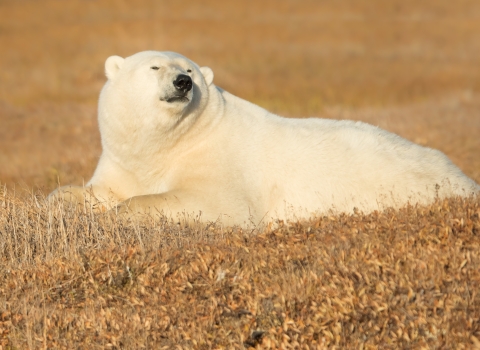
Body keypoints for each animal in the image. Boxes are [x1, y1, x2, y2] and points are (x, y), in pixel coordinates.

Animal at [48, 50, 480, 227]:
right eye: (154, 67)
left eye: (190, 69)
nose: (183, 82)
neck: (171, 143)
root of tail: (464, 178)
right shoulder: (123, 159)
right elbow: (97, 191)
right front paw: (56, 205)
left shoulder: (217, 159)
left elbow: (214, 203)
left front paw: (118, 216)